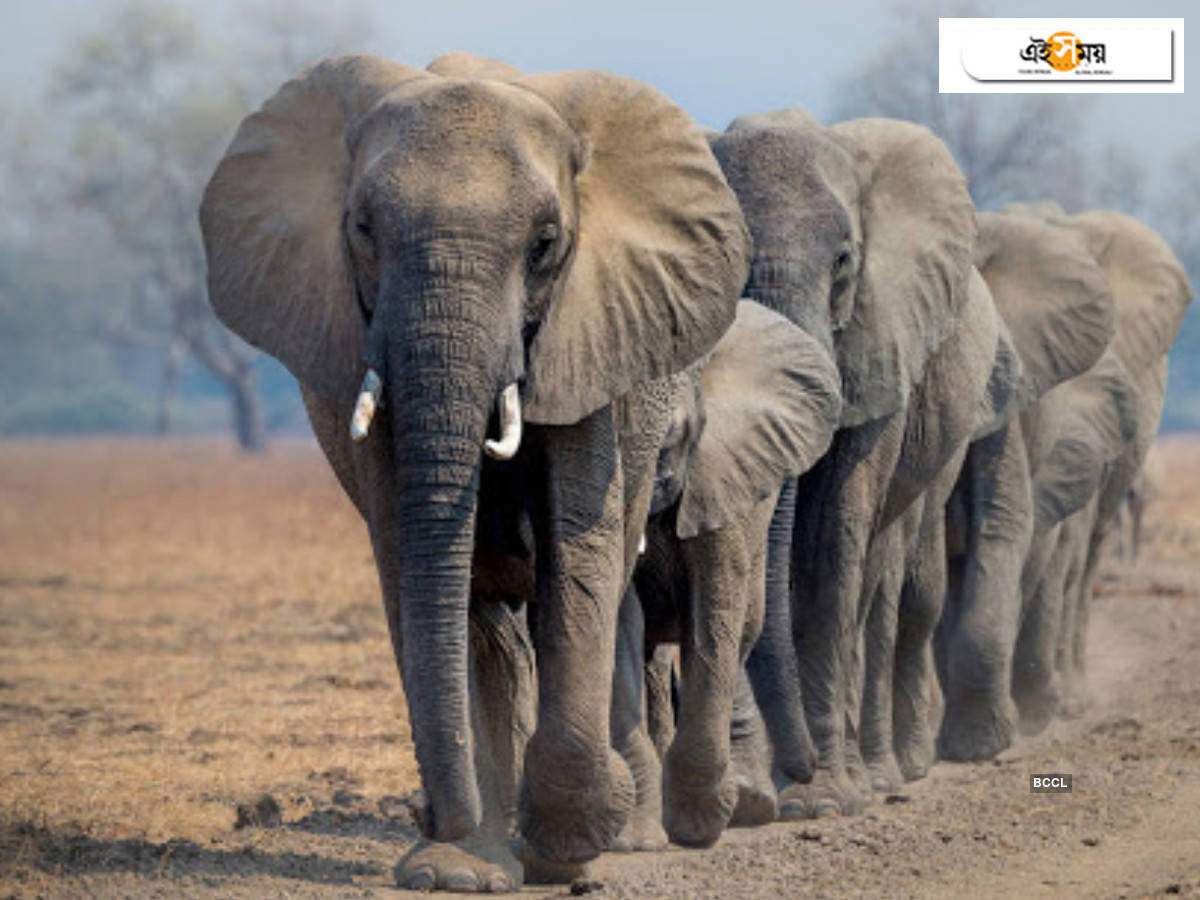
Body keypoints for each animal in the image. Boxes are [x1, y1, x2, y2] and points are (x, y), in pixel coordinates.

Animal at [199, 51, 750, 891]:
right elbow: (415, 562)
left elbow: (578, 552)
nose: (431, 813)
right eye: (362, 229)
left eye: (546, 243)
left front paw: (567, 844)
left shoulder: (589, 335)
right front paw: (454, 869)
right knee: (484, 620)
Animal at [612, 299, 841, 848]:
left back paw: (748, 802)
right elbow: (623, 616)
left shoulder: (718, 472)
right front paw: (635, 838)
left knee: (743, 628)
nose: (806, 769)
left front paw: (700, 823)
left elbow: (715, 608)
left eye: (674, 440)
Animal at [707, 110, 999, 817]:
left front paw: (820, 802)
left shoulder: (884, 337)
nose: (800, 770)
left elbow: (833, 540)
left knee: (891, 587)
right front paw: (764, 796)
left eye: (843, 260)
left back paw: (889, 773)